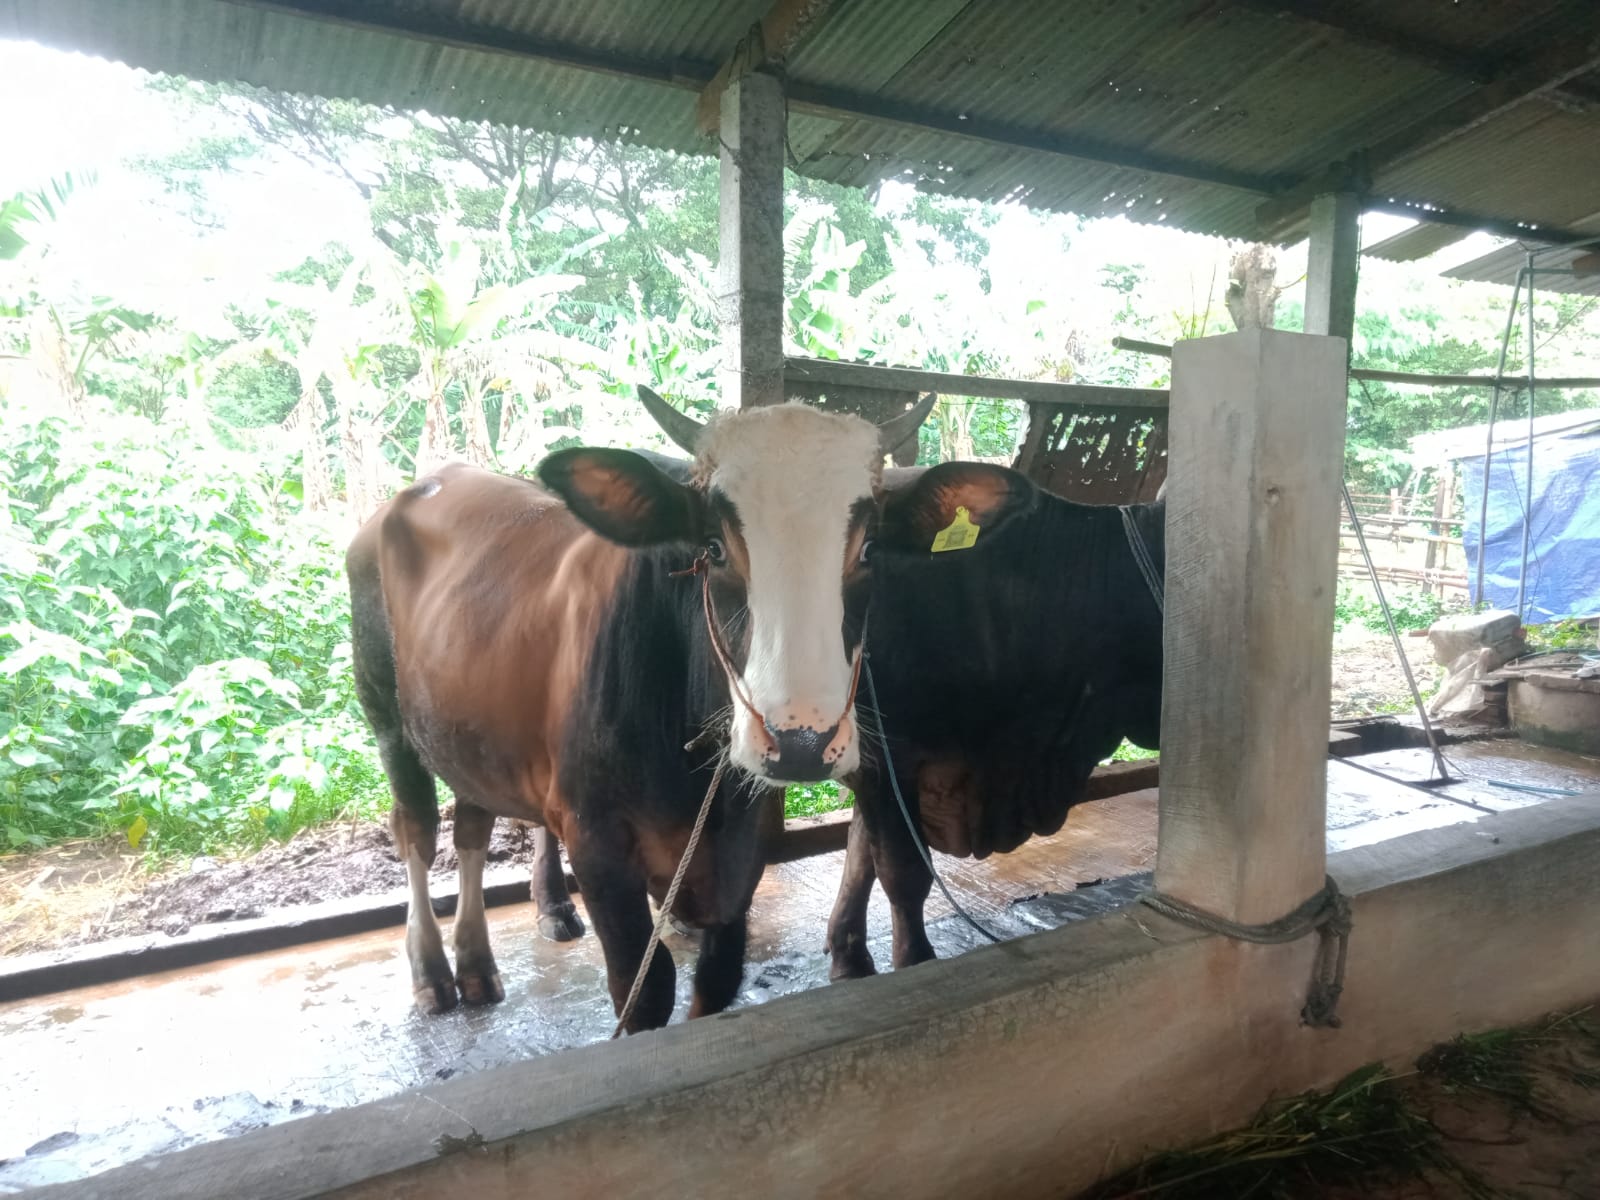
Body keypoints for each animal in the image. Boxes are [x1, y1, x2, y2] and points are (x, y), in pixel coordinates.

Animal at [342, 392, 934, 1036]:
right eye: (713, 548)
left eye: (869, 549)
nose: (802, 740)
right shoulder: (596, 838)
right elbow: (643, 991)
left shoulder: (742, 846)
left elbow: (717, 978)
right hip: (386, 718)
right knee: (418, 832)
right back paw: (432, 972)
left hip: (466, 727)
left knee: (472, 822)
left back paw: (479, 962)